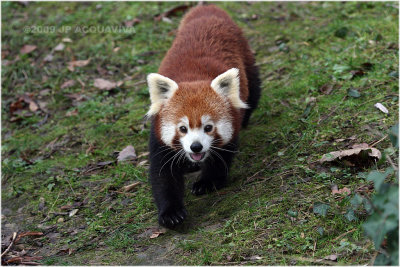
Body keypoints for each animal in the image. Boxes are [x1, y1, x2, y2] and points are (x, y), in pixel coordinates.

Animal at [145, 4, 260, 228]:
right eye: (183, 128)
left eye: (208, 127)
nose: (196, 147)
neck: (193, 78)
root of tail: (207, 9)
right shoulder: (159, 138)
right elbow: (163, 176)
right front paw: (171, 212)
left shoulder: (231, 125)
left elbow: (220, 159)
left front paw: (206, 183)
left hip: (246, 58)